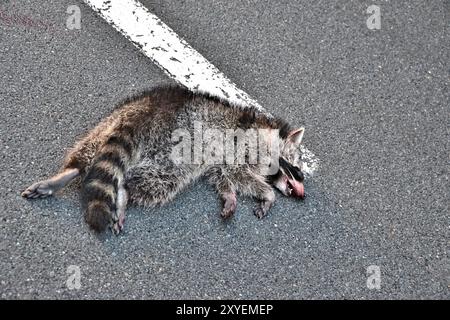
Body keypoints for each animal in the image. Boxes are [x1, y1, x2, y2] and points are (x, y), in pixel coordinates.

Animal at [22, 85, 306, 235]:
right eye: (295, 165)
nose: (302, 188)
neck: (268, 132)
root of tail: (148, 109)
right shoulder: (245, 146)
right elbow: (240, 174)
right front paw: (267, 194)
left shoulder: (222, 160)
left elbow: (223, 177)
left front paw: (229, 196)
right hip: (176, 145)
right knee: (153, 178)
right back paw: (125, 190)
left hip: (109, 123)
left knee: (92, 155)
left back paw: (78, 175)